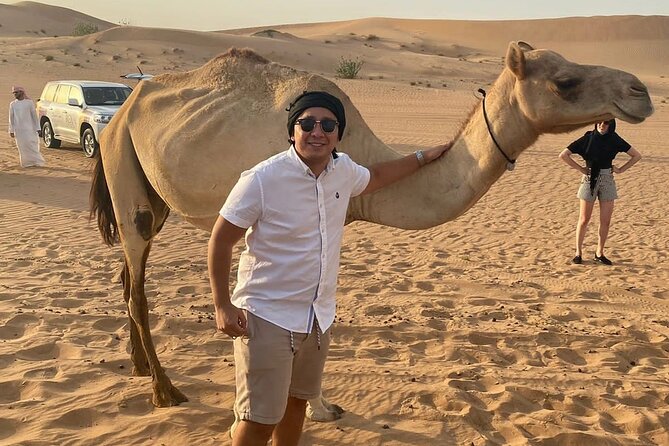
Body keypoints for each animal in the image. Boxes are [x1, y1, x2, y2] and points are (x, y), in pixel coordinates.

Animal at [89, 42, 653, 417]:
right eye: (565, 82)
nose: (641, 90)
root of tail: (123, 109)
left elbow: (320, 314)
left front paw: (317, 404)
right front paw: (298, 405)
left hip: (147, 185)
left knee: (128, 275)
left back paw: (138, 367)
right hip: (123, 167)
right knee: (137, 282)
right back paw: (163, 390)